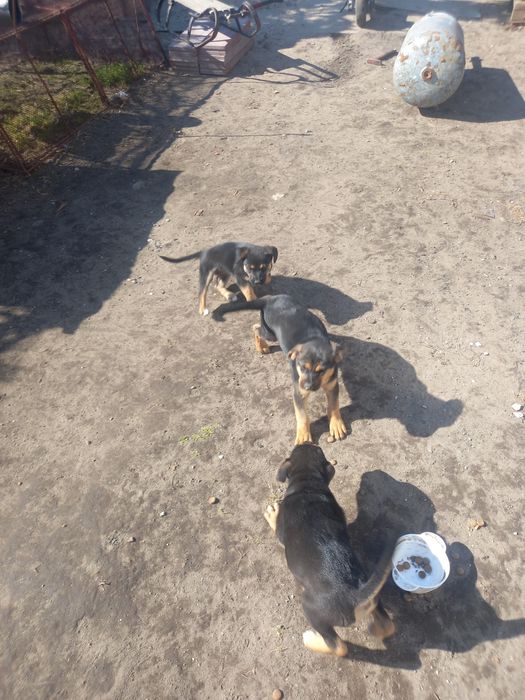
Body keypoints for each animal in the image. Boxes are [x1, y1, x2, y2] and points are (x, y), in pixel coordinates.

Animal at [213, 294, 347, 444]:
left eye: (321, 371)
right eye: (302, 367)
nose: (307, 387)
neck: (314, 340)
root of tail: (270, 298)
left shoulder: (332, 385)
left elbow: (334, 405)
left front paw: (336, 425)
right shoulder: (298, 392)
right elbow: (302, 415)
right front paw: (303, 435)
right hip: (270, 334)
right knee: (256, 328)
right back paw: (261, 346)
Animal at [264, 444, 396, 657]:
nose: (308, 443)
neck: (308, 484)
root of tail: (354, 595)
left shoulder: (281, 531)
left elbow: (275, 524)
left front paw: (272, 513)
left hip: (311, 608)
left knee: (338, 646)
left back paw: (312, 640)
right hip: (374, 598)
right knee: (387, 625)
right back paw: (375, 629)